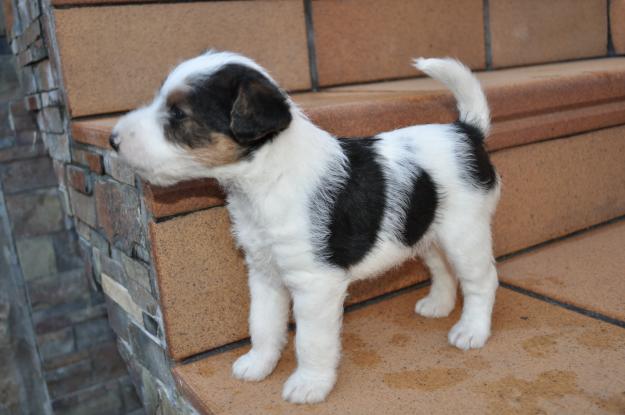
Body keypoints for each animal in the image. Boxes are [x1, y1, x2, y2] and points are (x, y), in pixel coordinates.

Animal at [112, 50, 500, 404]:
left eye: (179, 113)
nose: (113, 140)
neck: (265, 181)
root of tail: (465, 130)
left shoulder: (315, 284)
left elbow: (311, 341)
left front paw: (309, 384)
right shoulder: (264, 273)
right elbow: (263, 324)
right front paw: (259, 364)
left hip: (464, 234)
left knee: (482, 281)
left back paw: (471, 330)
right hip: (426, 233)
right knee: (443, 269)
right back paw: (438, 305)